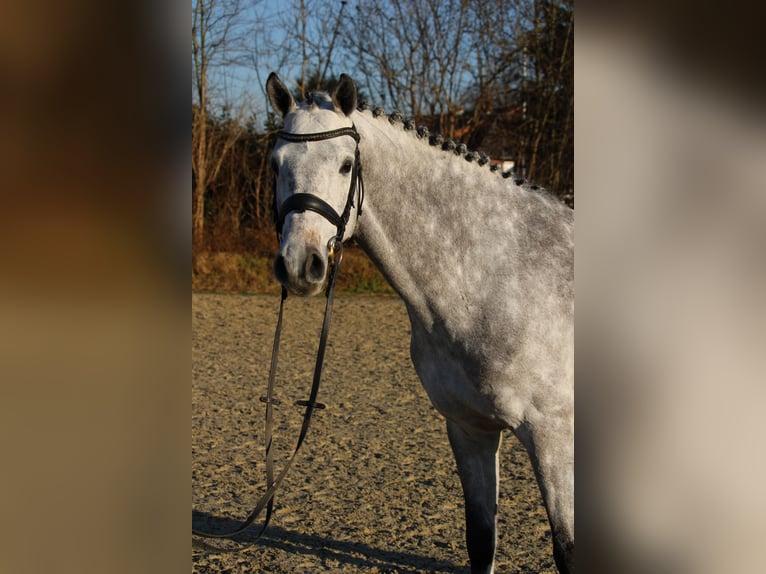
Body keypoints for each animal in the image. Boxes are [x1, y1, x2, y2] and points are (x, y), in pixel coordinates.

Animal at [265, 72, 574, 574]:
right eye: (276, 165)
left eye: (346, 165)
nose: (298, 264)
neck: (498, 276)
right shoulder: (469, 428)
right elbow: (480, 540)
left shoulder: (554, 437)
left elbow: (567, 549)